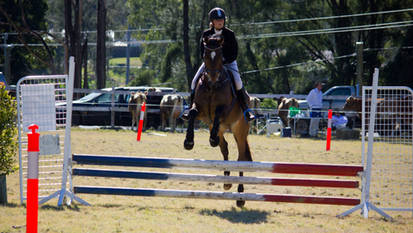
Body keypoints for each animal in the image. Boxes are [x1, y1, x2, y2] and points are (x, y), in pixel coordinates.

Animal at [183, 35, 251, 208]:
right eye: (206, 56)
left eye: (220, 56)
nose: (213, 78)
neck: (212, 86)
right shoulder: (201, 112)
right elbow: (192, 113)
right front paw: (188, 142)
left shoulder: (223, 110)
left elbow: (219, 112)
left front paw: (210, 140)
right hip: (220, 129)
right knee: (225, 148)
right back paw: (226, 181)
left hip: (240, 131)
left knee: (241, 157)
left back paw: (240, 196)